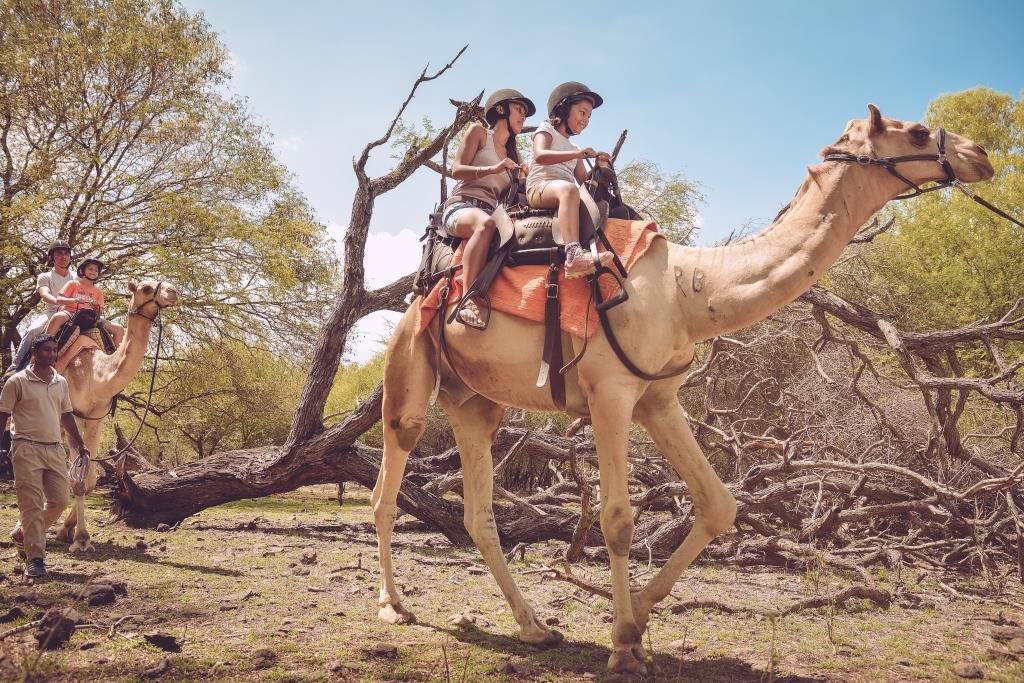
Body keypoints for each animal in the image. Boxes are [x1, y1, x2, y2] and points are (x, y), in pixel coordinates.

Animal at [54, 279, 179, 552]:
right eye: (145, 287)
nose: (173, 291)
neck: (95, 374)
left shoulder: (95, 419)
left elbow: (89, 478)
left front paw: (70, 532)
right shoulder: (72, 416)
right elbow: (78, 479)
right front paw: (80, 540)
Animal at [372, 105, 994, 673]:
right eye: (916, 131)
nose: (980, 154)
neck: (684, 290)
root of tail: (431, 280)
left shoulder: (659, 398)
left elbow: (720, 504)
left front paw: (638, 622)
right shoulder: (610, 391)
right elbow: (618, 520)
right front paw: (623, 646)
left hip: (475, 400)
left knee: (478, 514)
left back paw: (535, 628)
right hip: (410, 364)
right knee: (388, 481)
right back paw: (394, 606)